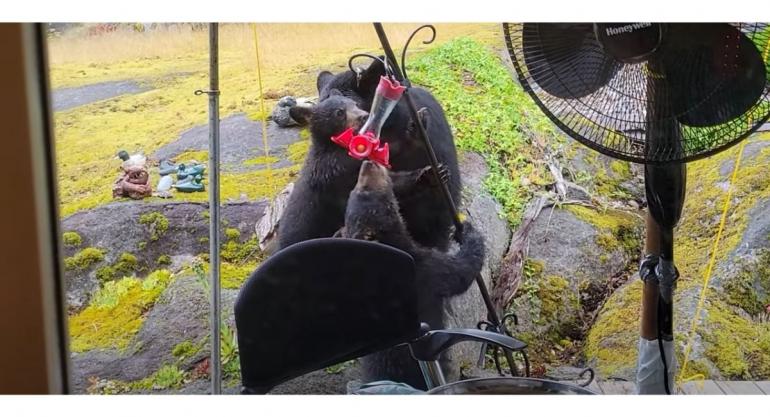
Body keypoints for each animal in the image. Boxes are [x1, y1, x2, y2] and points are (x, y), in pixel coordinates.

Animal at [344, 160, 484, 390]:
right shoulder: (425, 270)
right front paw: (467, 232)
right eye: (363, 189)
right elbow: (460, 272)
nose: (368, 163)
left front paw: (431, 175)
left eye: (354, 189)